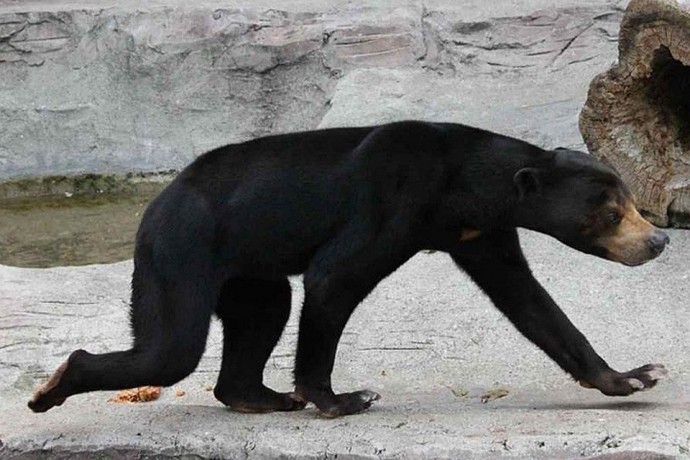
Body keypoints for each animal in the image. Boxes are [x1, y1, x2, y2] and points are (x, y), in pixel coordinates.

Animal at [28, 121, 668, 416]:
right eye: (612, 213)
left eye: (633, 201)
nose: (659, 240)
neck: (465, 187)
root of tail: (157, 203)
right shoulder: (395, 198)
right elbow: (334, 278)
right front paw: (342, 398)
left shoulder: (482, 233)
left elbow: (528, 300)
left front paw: (635, 375)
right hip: (181, 250)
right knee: (172, 347)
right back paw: (51, 386)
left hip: (246, 267)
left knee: (263, 312)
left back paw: (258, 397)